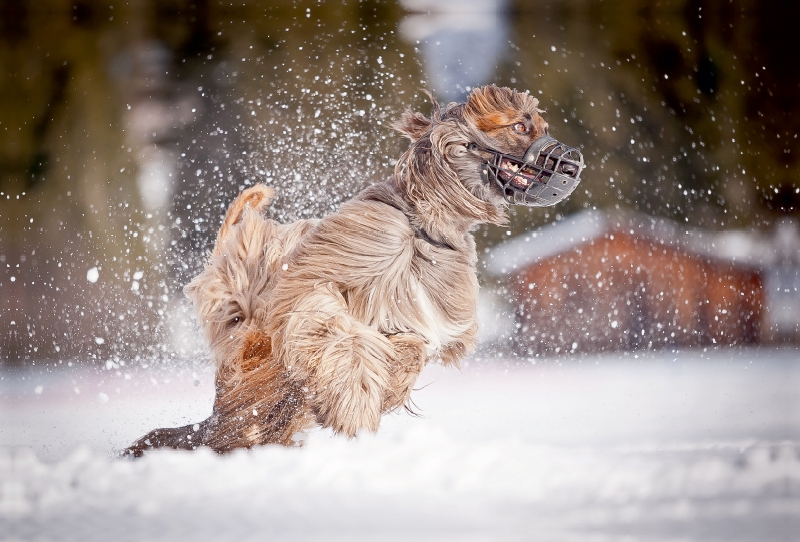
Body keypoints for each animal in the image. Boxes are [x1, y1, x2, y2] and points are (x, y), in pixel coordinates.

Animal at [128, 85, 584, 456]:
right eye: (521, 125)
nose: (571, 166)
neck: (424, 222)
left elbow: (410, 346)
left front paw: (388, 384)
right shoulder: (326, 274)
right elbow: (333, 326)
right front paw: (356, 403)